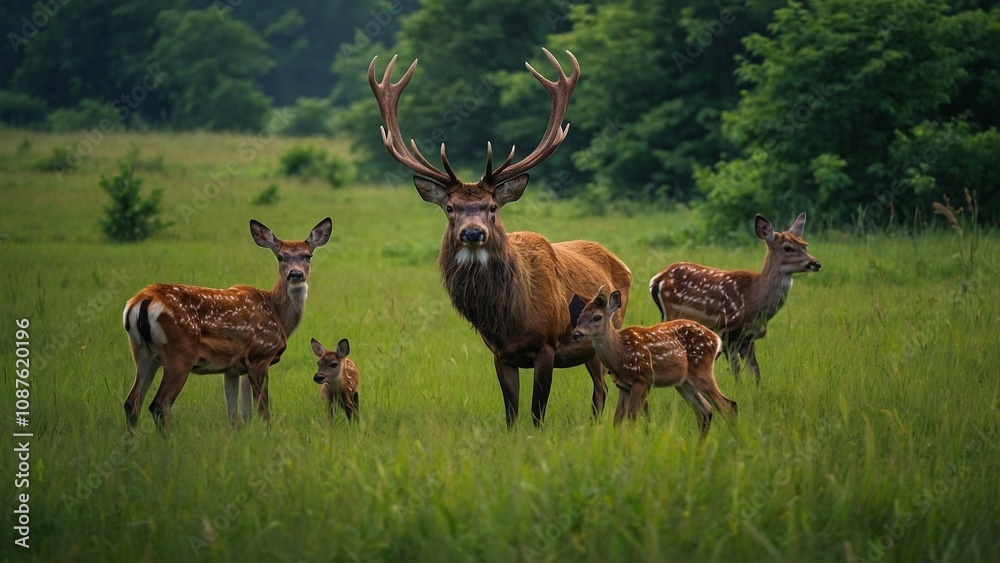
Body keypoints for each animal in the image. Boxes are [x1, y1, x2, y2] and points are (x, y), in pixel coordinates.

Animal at [121, 218, 332, 429]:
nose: (295, 274)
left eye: (308, 256)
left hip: (142, 352)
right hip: (180, 352)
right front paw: (266, 432)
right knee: (159, 404)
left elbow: (237, 414)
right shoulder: (260, 354)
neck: (277, 315)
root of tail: (141, 301)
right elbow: (262, 409)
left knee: (132, 403)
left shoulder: (233, 367)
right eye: (280, 257)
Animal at [368, 49, 633, 428]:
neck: (509, 317)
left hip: (606, 333)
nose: (472, 232)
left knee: (603, 389)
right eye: (450, 207)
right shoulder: (500, 353)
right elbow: (511, 412)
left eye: (492, 206)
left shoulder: (547, 344)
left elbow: (537, 412)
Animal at [571, 288, 736, 438]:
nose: (576, 334)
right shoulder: (623, 385)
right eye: (579, 316)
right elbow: (617, 420)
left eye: (597, 317)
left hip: (701, 369)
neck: (620, 353)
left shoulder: (643, 379)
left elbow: (632, 417)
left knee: (728, 405)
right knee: (706, 410)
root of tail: (717, 339)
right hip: (683, 383)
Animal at [649, 213, 821, 383]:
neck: (754, 299)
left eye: (805, 245)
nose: (816, 263)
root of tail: (657, 279)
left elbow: (755, 371)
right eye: (788, 248)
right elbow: (737, 372)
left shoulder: (749, 337)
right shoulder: (729, 331)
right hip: (673, 314)